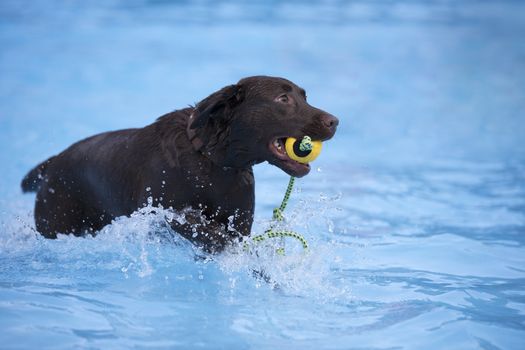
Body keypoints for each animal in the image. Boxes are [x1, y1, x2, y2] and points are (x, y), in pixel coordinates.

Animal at [21, 76, 336, 252]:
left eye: (304, 96)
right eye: (283, 99)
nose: (335, 121)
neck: (212, 163)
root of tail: (52, 163)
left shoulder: (239, 221)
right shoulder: (162, 210)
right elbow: (200, 227)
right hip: (57, 222)